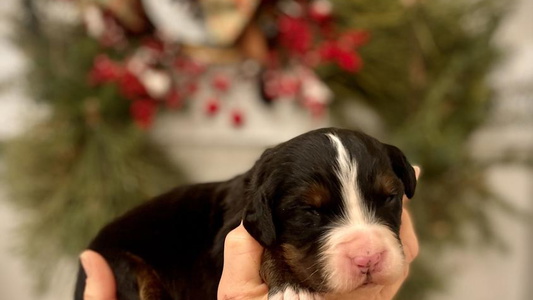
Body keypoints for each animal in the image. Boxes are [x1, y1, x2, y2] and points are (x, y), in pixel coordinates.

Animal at [74, 128, 416, 300]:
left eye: (389, 197)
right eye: (309, 211)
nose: (368, 257)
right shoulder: (226, 240)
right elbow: (269, 248)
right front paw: (291, 288)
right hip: (119, 263)